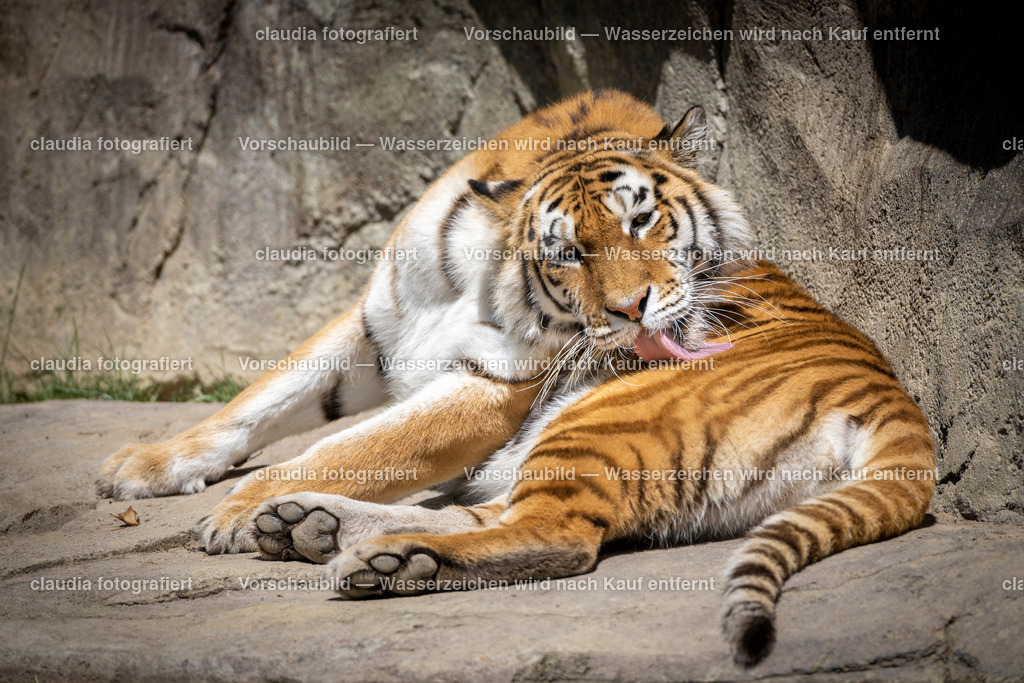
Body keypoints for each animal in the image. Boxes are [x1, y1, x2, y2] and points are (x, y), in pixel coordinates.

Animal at [96, 89, 936, 667]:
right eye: (567, 251)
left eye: (641, 221)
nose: (631, 311)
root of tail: (897, 406)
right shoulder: (376, 325)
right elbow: (261, 396)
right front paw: (142, 467)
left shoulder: (492, 385)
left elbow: (363, 444)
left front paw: (236, 511)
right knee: (498, 513)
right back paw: (315, 526)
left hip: (599, 417)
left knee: (558, 534)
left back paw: (377, 554)